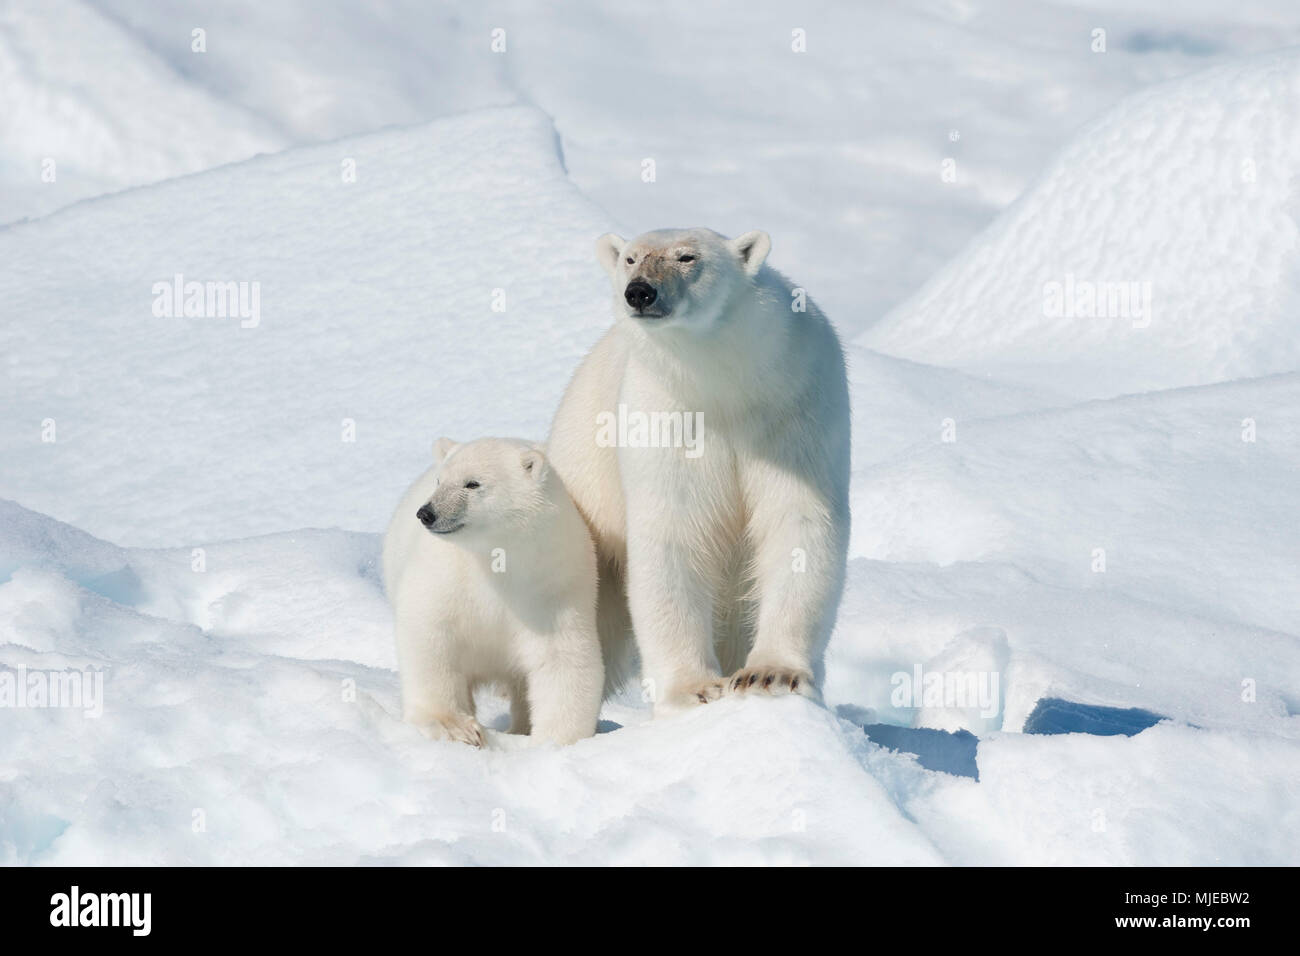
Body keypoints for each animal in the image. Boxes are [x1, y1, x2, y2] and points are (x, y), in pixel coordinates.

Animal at [548, 227, 852, 712]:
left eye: (687, 257)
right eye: (630, 258)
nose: (641, 292)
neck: (723, 382)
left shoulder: (796, 402)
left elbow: (797, 520)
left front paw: (770, 674)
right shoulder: (665, 416)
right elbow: (675, 531)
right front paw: (695, 689)